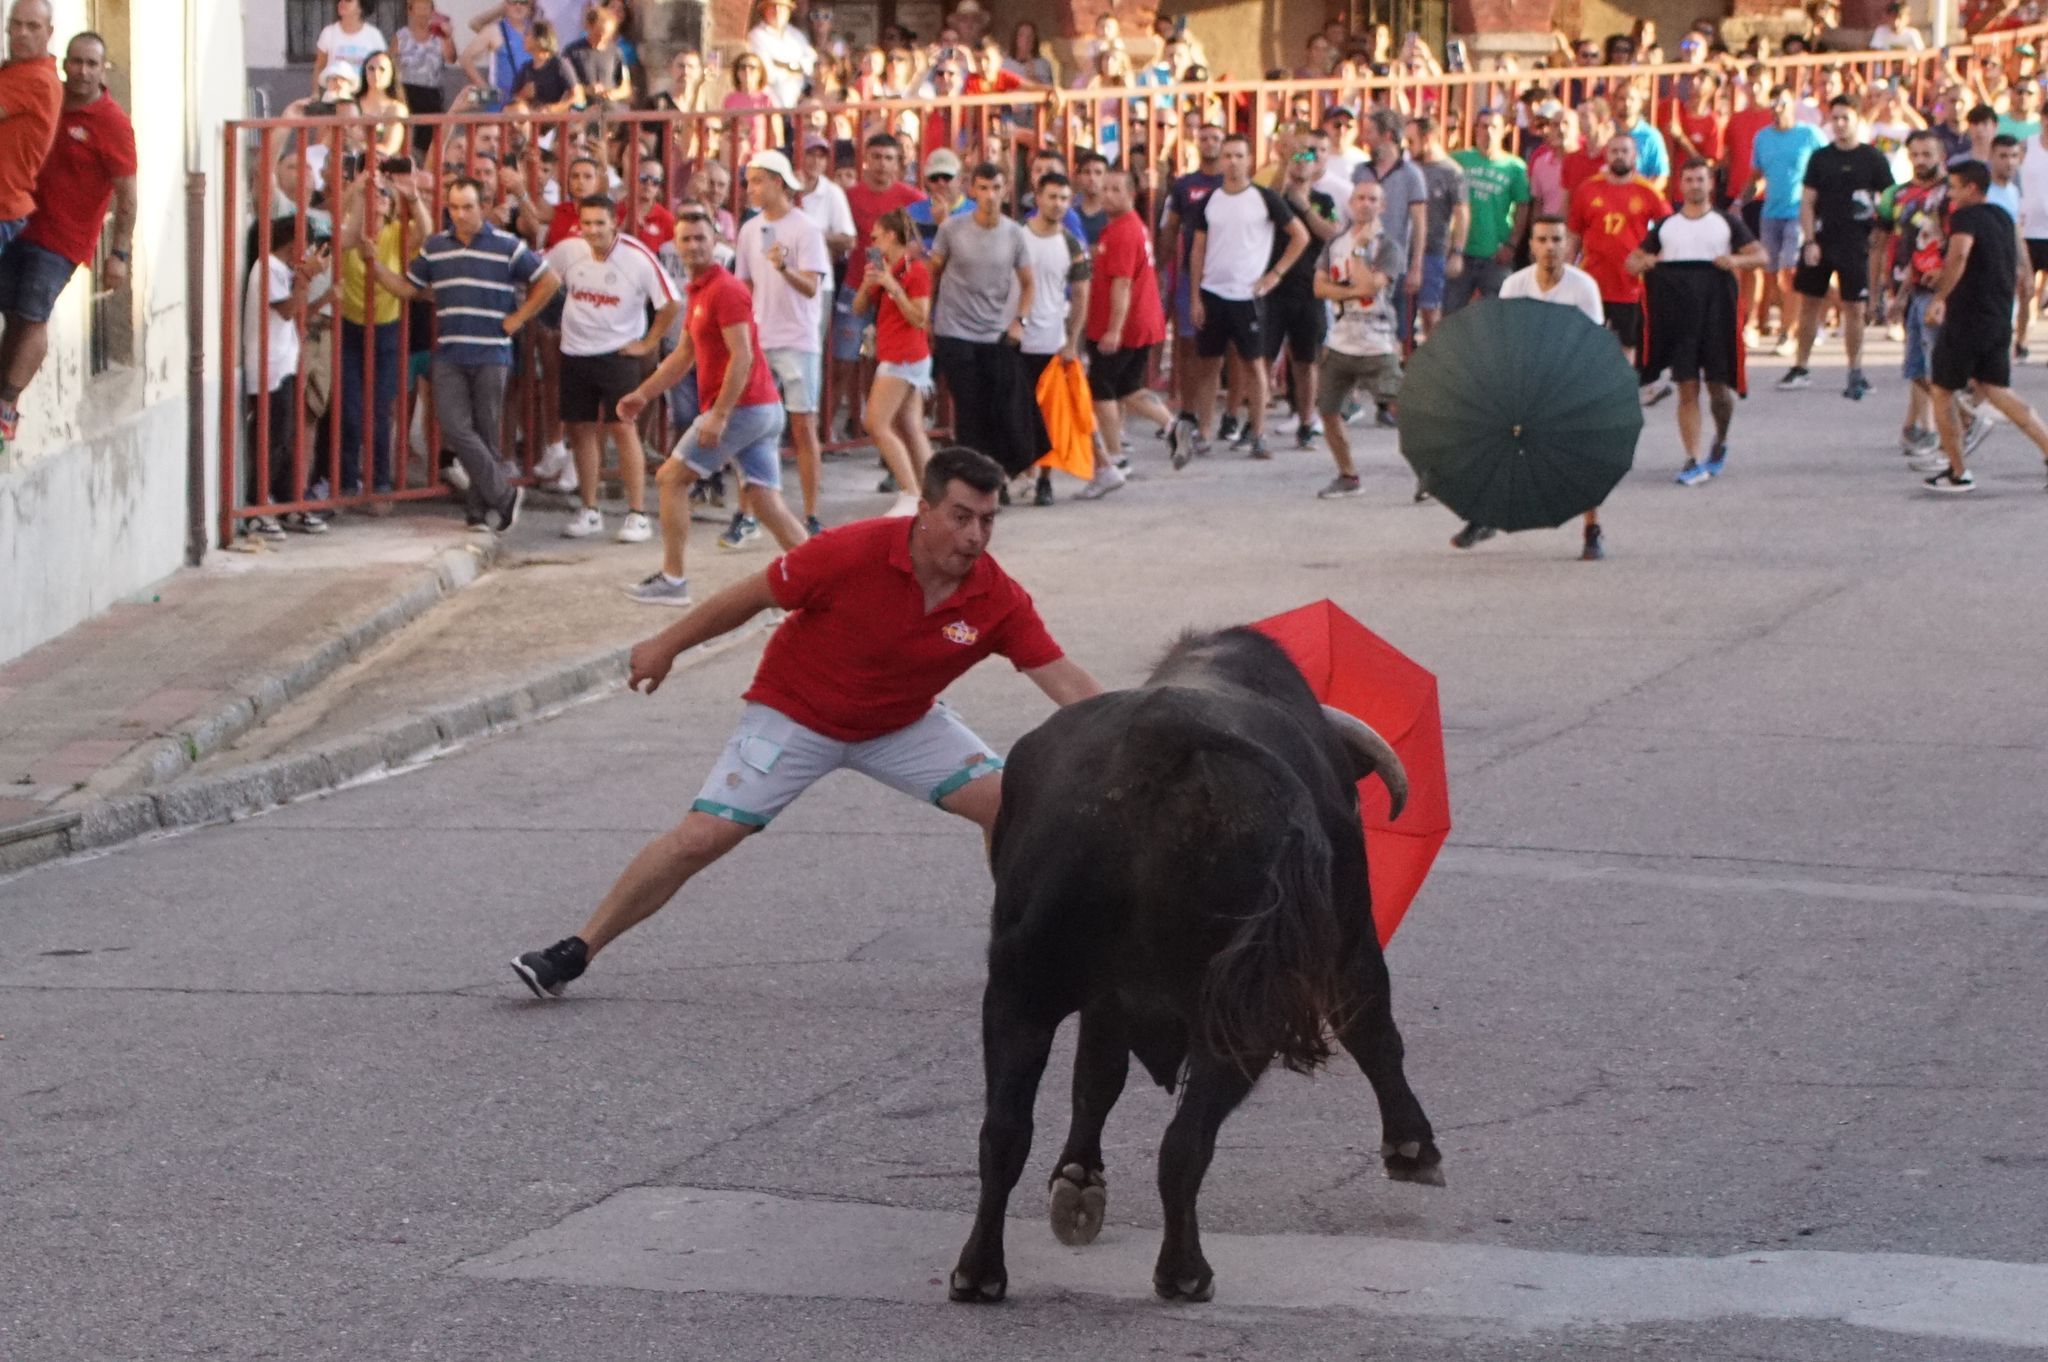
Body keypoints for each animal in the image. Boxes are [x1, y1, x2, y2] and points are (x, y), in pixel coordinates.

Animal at [954, 630, 1449, 1310]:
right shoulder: (1351, 930)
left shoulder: (1103, 1002)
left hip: (1019, 988)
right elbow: (1372, 1027)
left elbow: (1095, 1079)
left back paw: (979, 1271)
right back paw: (1185, 1271)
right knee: (1186, 1142)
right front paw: (1413, 1147)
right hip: (1244, 1010)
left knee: (1003, 1130)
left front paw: (1079, 1180)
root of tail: (1162, 739)